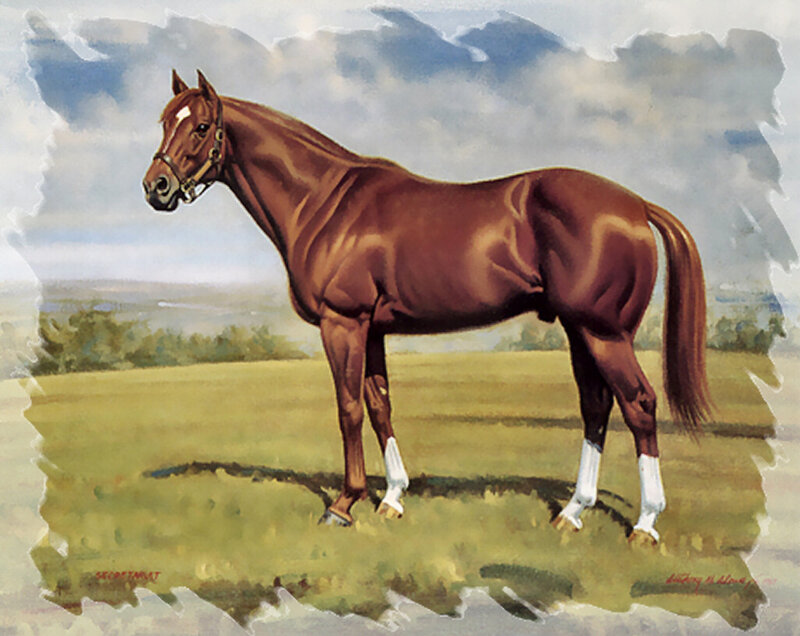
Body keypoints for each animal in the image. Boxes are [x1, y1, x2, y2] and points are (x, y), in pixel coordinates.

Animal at [144, 70, 712, 544]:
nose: (156, 188)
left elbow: (348, 408)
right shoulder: (372, 328)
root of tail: (635, 205)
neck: (324, 202)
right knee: (596, 407)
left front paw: (344, 504)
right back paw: (572, 512)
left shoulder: (342, 323)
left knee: (639, 405)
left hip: (603, 332)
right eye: (164, 122)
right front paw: (392, 497)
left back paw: (645, 524)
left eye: (199, 127)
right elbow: (379, 404)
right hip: (580, 332)